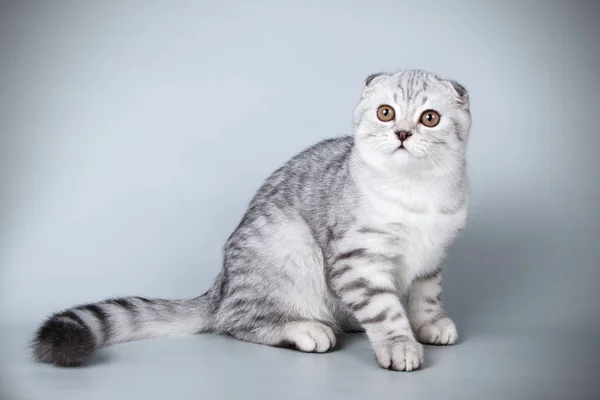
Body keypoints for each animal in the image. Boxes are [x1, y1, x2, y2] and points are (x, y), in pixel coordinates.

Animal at [31, 69, 474, 372]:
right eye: (386, 113)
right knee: (235, 320)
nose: (402, 133)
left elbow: (425, 297)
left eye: (429, 118)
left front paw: (429, 325)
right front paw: (399, 343)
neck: (415, 192)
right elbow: (384, 309)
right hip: (290, 246)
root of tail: (222, 284)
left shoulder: (432, 257)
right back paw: (306, 329)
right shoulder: (359, 259)